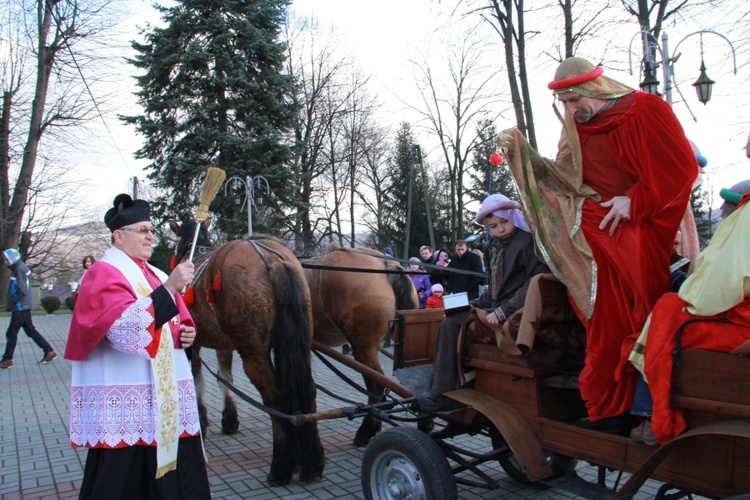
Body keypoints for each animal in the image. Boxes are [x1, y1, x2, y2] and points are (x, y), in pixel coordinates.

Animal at [173, 219, 326, 484]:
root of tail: (272, 260)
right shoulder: (223, 345)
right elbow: (224, 378)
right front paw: (229, 419)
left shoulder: (193, 344)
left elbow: (197, 381)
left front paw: (201, 422)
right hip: (300, 343)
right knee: (308, 390)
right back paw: (311, 464)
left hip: (253, 352)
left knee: (274, 396)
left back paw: (280, 468)